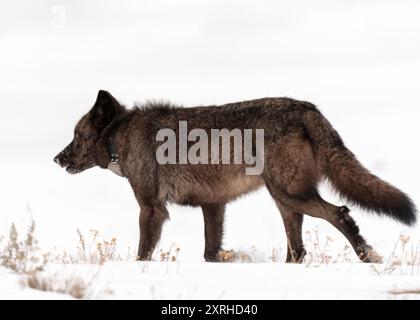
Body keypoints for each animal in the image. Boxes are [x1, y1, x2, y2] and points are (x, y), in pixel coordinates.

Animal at [53, 90, 416, 262]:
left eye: (76, 136)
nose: (57, 159)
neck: (120, 136)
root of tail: (307, 108)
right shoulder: (213, 206)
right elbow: (211, 253)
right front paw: (234, 259)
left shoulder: (152, 209)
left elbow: (144, 252)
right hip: (286, 202)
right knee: (298, 251)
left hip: (288, 195)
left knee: (339, 214)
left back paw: (367, 256)